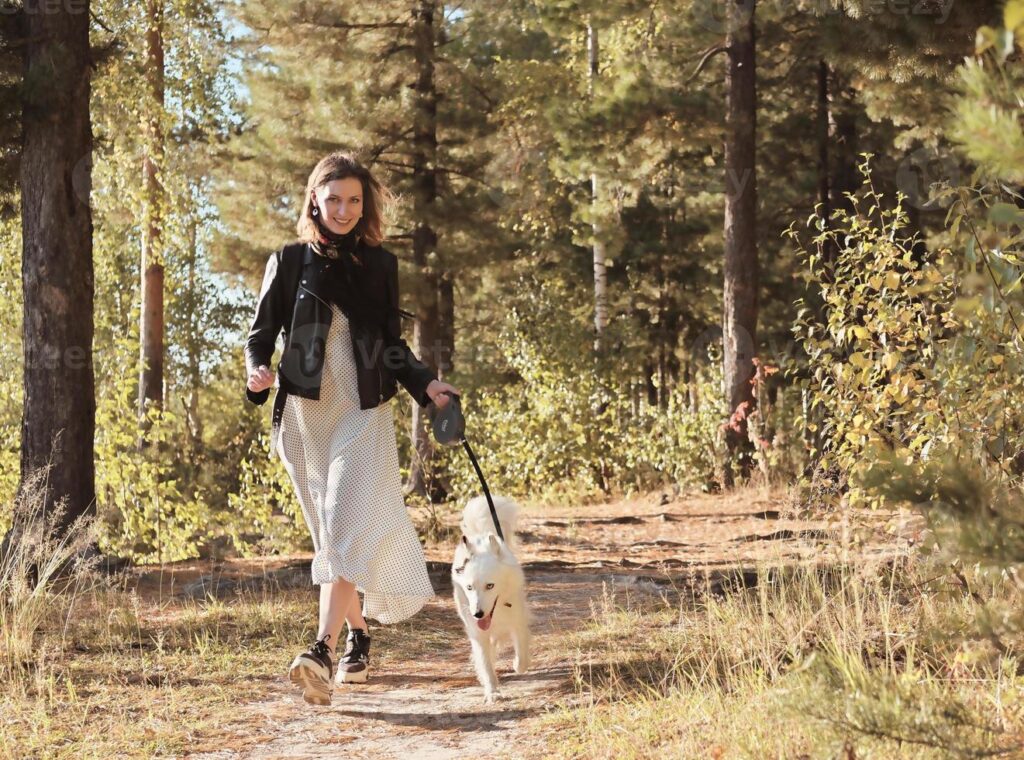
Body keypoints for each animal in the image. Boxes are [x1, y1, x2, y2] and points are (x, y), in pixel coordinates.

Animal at [456, 497, 536, 704]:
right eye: (469, 587)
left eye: (490, 586)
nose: (478, 614)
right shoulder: (477, 632)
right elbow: (485, 663)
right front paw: (492, 692)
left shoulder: (518, 622)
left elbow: (521, 653)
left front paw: (518, 665)